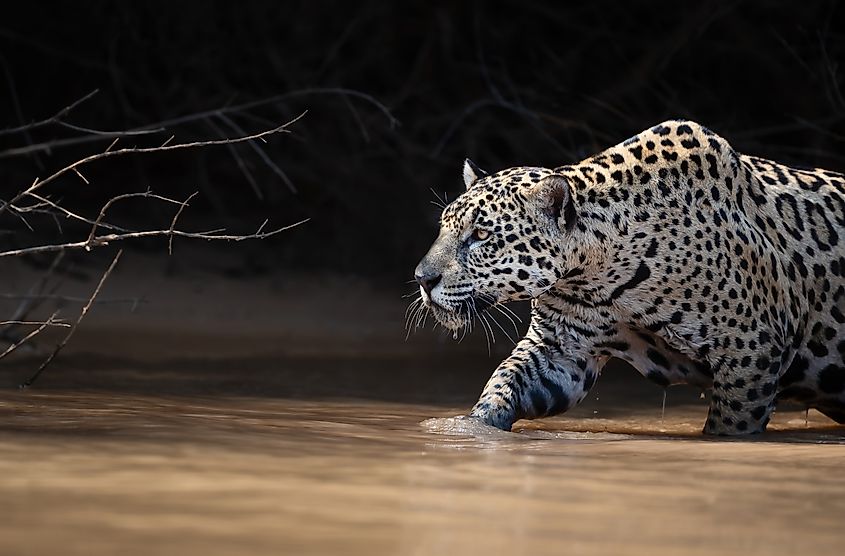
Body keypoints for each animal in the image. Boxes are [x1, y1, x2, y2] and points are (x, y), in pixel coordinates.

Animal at [412, 119, 845, 436]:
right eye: (445, 227)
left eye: (481, 235)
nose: (422, 278)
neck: (596, 277)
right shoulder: (561, 348)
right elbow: (506, 381)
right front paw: (470, 427)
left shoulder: (751, 353)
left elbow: (731, 426)